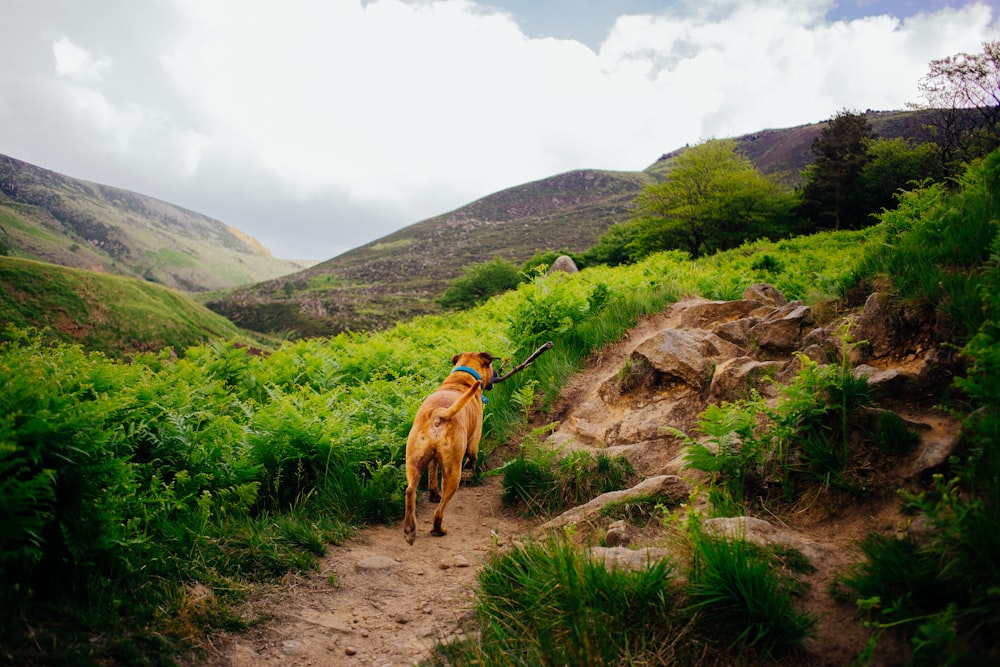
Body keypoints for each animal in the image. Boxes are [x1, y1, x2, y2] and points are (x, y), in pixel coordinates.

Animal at [402, 352, 496, 544]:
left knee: (410, 490)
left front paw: (433, 494)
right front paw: (470, 470)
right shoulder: (474, 440)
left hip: (413, 461)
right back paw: (438, 529)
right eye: (491, 366)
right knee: (440, 509)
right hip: (453, 473)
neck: (461, 378)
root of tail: (439, 414)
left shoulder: (432, 460)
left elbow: (432, 473)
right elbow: (473, 457)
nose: (497, 374)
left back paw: (409, 530)